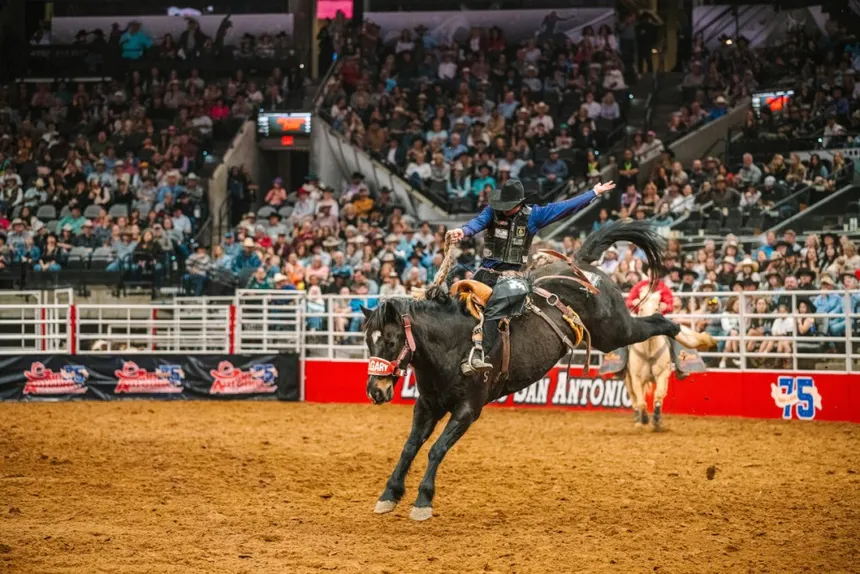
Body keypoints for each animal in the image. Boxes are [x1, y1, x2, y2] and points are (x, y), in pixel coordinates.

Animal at [624, 290, 673, 431]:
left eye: (657, 309)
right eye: (641, 309)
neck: (649, 349)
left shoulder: (663, 374)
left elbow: (659, 395)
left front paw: (656, 420)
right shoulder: (636, 377)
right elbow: (640, 401)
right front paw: (644, 418)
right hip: (628, 378)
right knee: (634, 398)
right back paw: (638, 420)